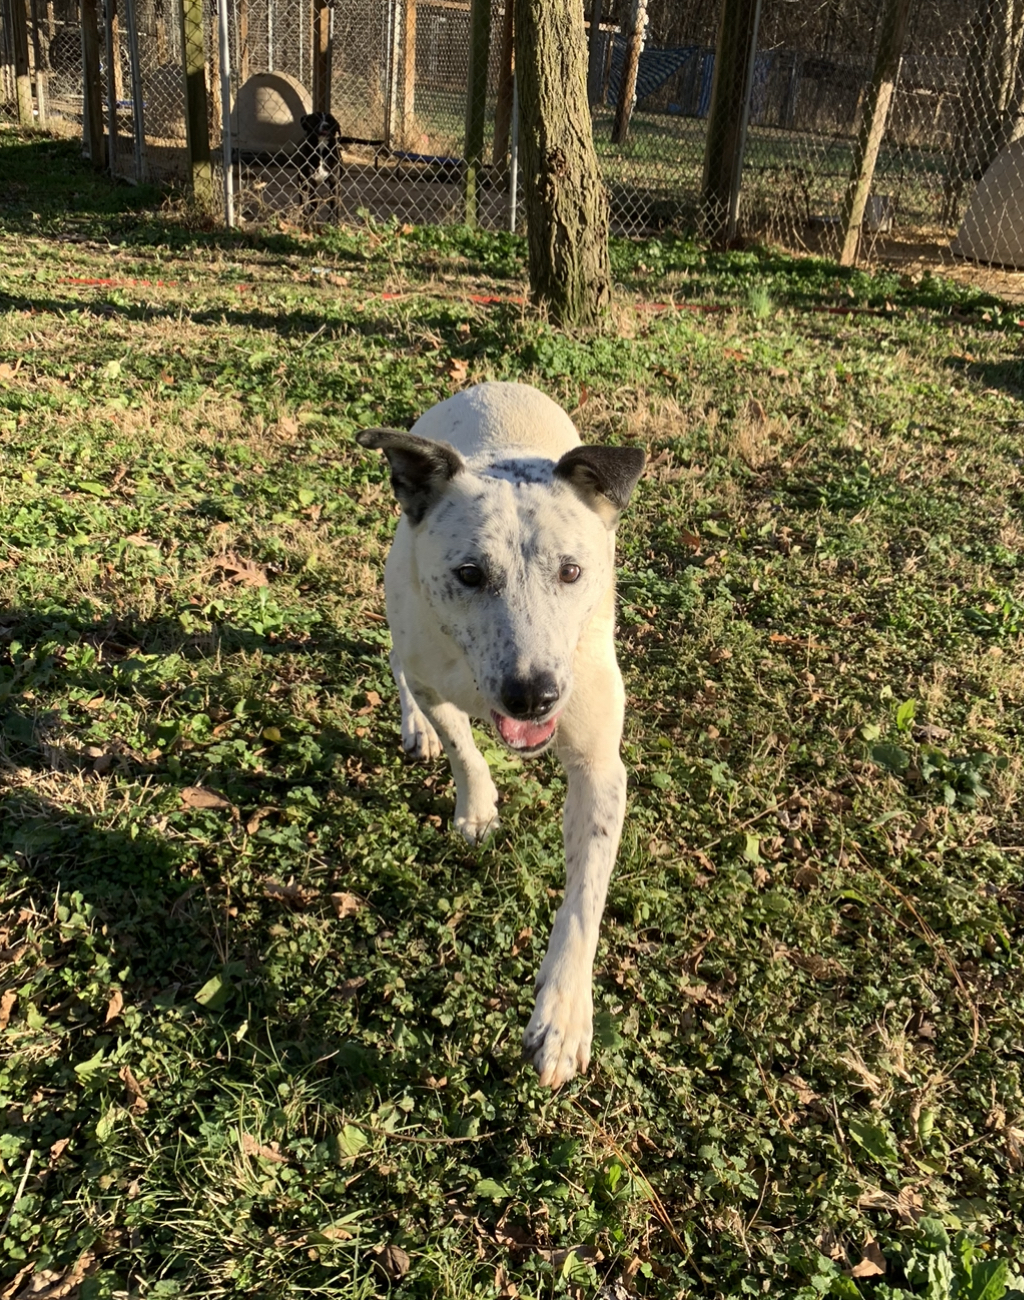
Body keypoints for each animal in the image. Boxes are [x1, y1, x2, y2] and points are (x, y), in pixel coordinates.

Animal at [361, 382, 644, 1086]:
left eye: (571, 572)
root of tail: (490, 385)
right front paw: (479, 808)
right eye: (469, 574)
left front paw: (562, 1017)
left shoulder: (599, 765)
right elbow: (463, 747)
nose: (532, 693)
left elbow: (584, 899)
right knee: (398, 659)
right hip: (400, 591)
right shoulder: (439, 681)